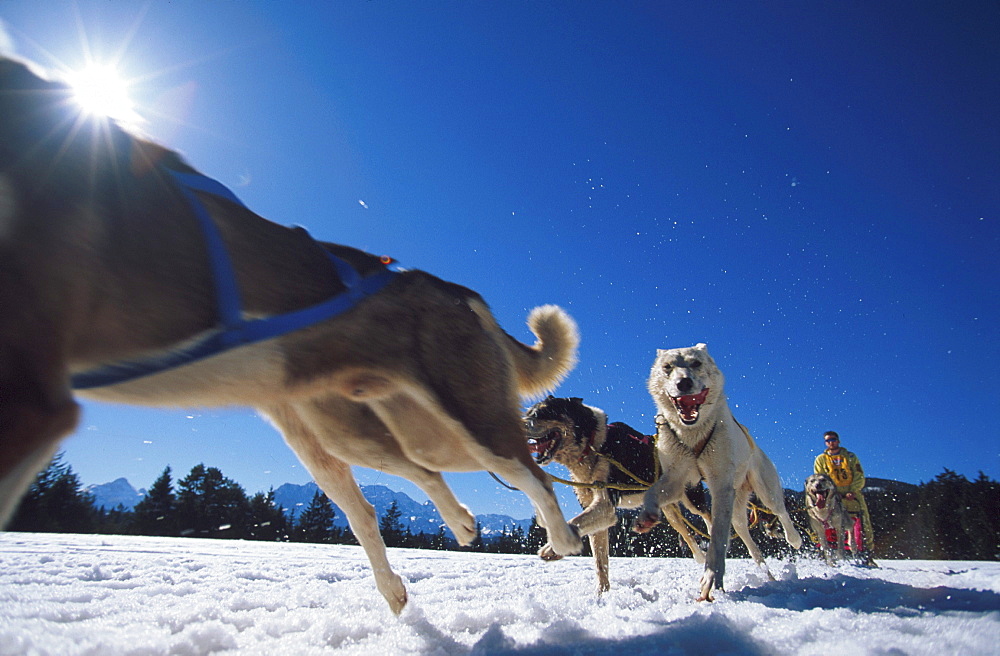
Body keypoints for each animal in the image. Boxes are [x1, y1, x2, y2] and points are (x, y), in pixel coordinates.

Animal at [0, 57, 584, 616]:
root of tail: (446, 287)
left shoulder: (32, 406)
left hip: (461, 420)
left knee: (531, 474)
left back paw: (562, 538)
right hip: (356, 436)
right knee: (390, 494)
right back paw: (439, 545)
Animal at [524, 398, 712, 592]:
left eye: (541, 412)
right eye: (528, 412)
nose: (519, 424)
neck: (593, 445)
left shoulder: (605, 505)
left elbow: (575, 521)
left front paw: (553, 547)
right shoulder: (595, 511)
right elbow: (600, 562)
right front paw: (602, 594)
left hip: (693, 500)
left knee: (707, 517)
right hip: (670, 512)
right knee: (688, 535)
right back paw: (701, 557)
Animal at [632, 344, 804, 600]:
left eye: (696, 363)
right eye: (667, 367)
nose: (683, 383)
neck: (692, 434)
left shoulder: (721, 485)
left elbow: (718, 541)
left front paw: (711, 578)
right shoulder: (676, 480)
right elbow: (652, 494)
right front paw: (647, 517)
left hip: (765, 490)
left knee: (781, 512)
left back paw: (794, 539)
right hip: (733, 511)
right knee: (752, 547)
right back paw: (768, 575)